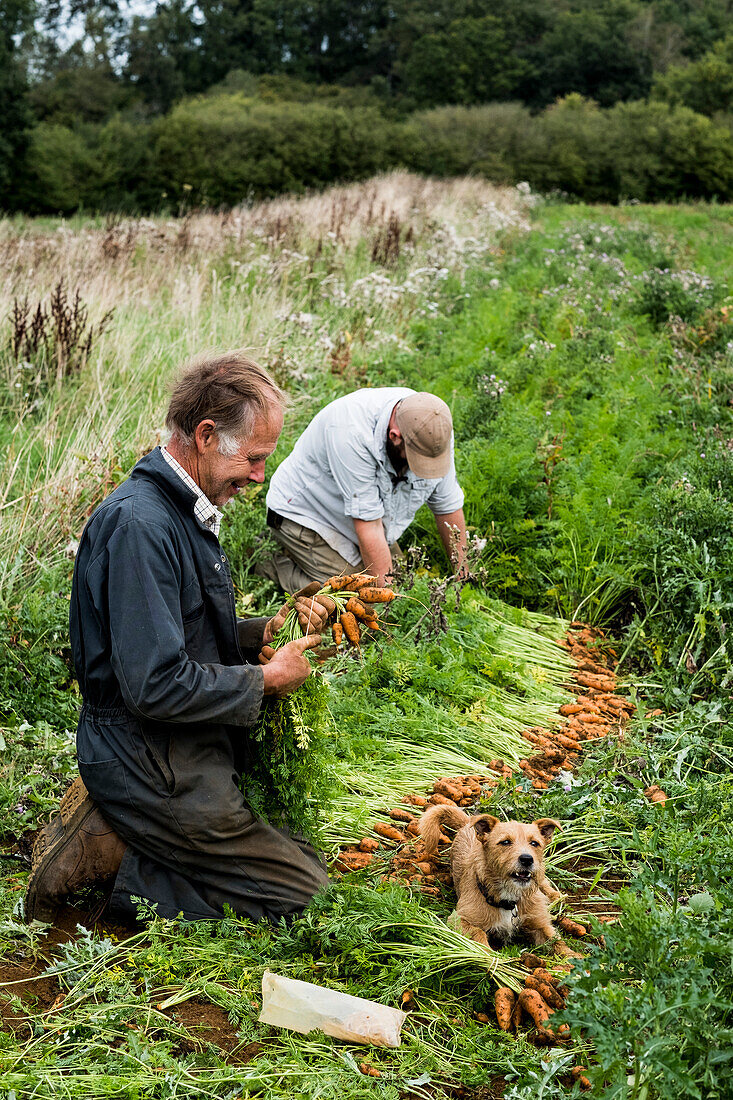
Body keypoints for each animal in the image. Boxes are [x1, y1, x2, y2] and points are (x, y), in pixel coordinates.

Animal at [416, 805, 559, 950]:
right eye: (505, 842)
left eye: (534, 843)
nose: (527, 859)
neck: (509, 901)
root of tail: (467, 822)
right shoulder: (459, 919)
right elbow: (479, 933)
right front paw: (491, 955)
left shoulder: (541, 924)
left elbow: (559, 943)